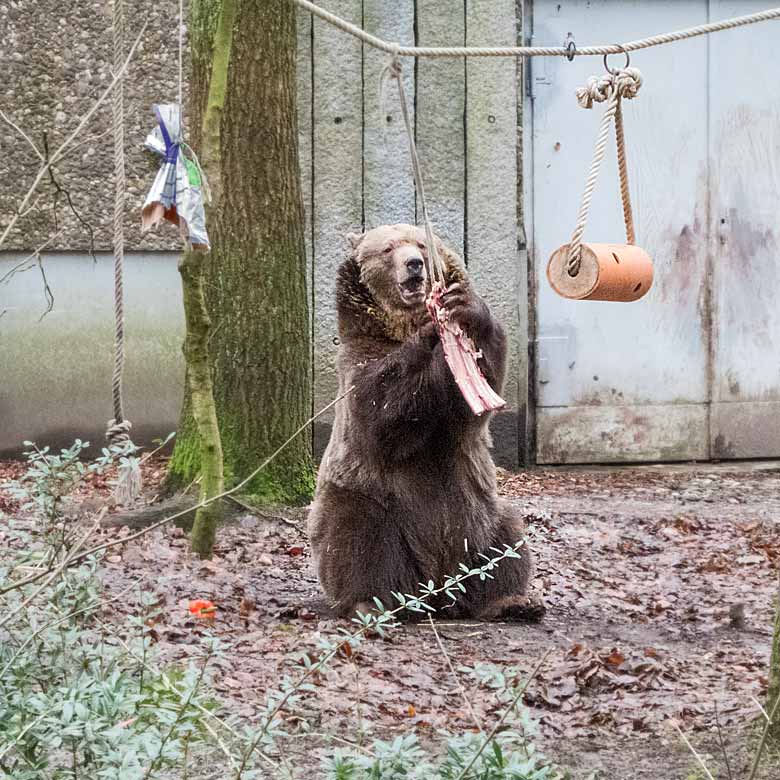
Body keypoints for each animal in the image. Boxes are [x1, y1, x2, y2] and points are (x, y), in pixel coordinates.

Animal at [304, 224, 536, 620]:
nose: (414, 264)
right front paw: (429, 333)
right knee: (357, 536)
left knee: (505, 536)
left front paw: (465, 309)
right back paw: (370, 603)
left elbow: (481, 386)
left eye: (422, 245)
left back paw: (509, 601)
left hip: (478, 516)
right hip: (373, 505)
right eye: (387, 248)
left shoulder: (461, 405)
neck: (397, 327)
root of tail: (435, 589)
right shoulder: (358, 361)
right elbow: (382, 410)